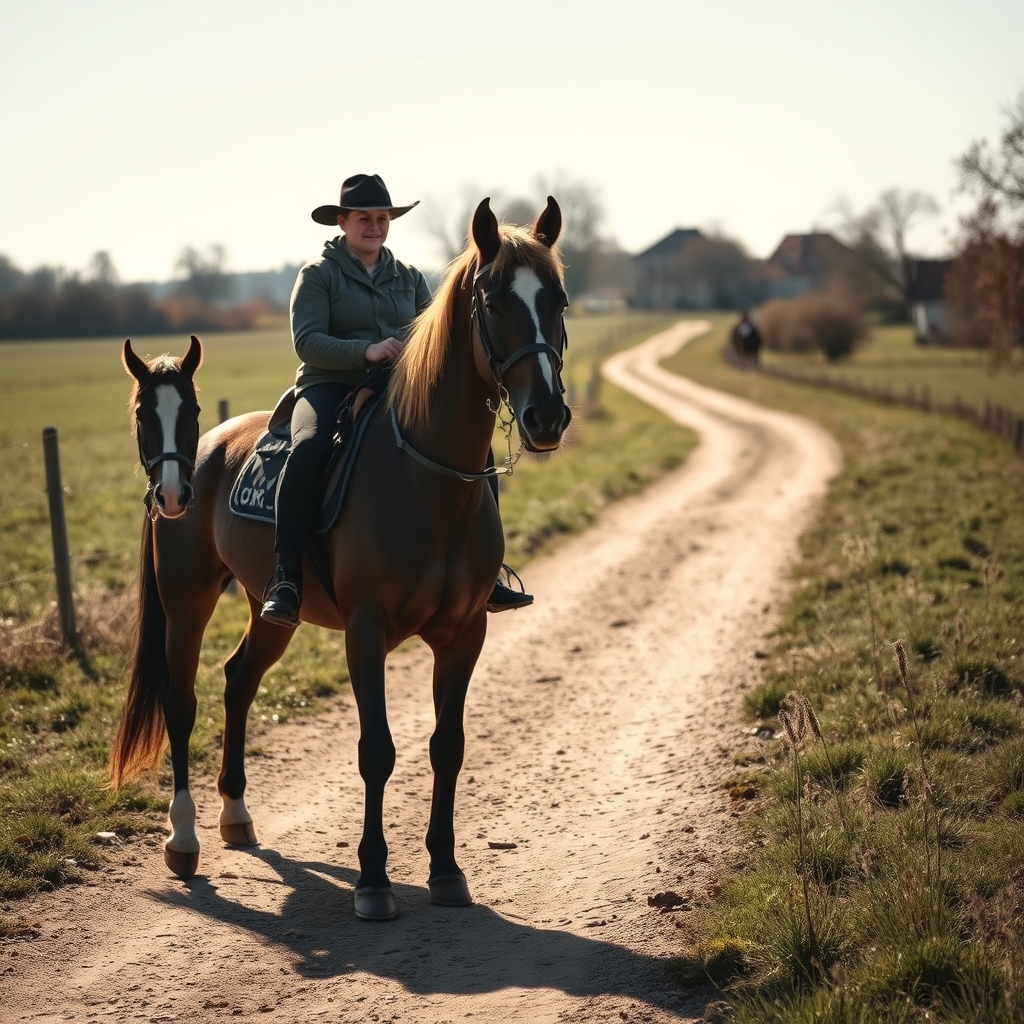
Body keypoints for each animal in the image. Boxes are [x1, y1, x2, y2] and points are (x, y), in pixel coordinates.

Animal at [110, 198, 571, 921]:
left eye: (558, 300)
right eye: (494, 301)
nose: (547, 416)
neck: (424, 481)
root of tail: (194, 458)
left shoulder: (466, 633)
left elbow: (447, 747)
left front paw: (446, 871)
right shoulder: (366, 629)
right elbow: (376, 751)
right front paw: (374, 881)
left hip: (270, 609)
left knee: (238, 679)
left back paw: (236, 816)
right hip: (185, 605)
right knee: (182, 701)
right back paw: (184, 841)